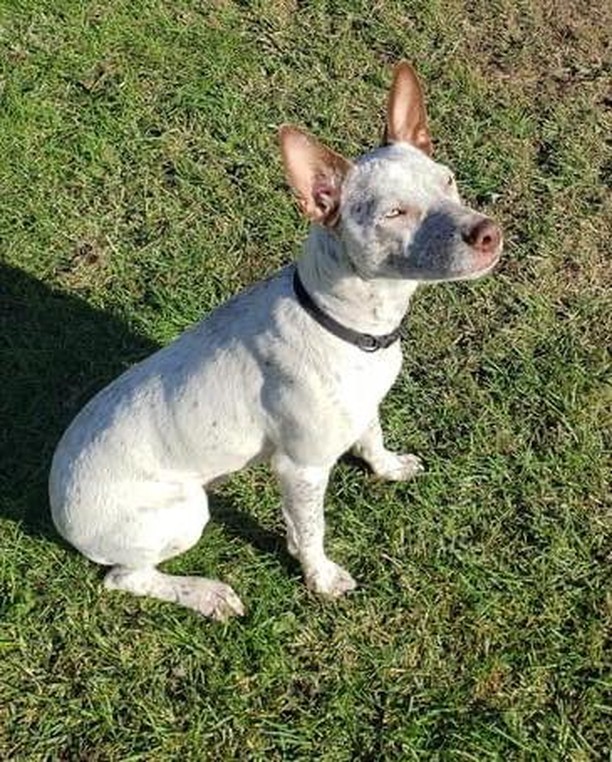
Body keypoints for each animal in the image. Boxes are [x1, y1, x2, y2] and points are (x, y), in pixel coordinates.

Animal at [50, 60, 502, 616]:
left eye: (448, 181)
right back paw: (206, 594)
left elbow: (371, 438)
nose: (488, 233)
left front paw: (389, 467)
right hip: (184, 514)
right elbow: (310, 531)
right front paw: (321, 578)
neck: (347, 324)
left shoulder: (364, 405)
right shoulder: (300, 469)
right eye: (394, 214)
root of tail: (56, 501)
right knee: (125, 578)